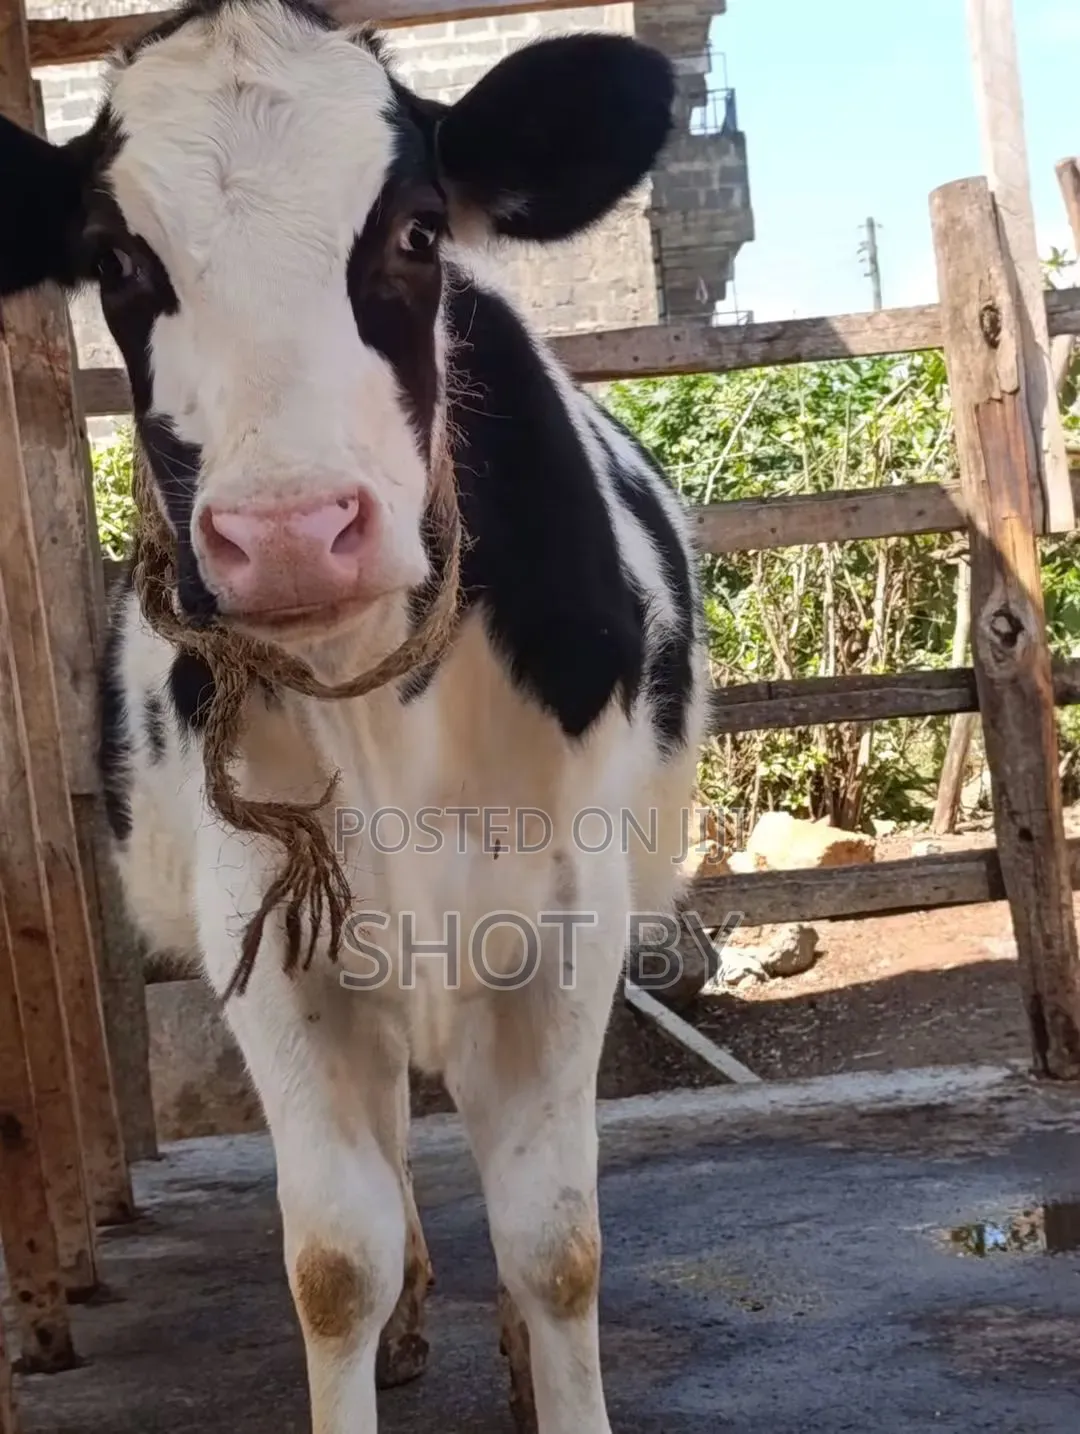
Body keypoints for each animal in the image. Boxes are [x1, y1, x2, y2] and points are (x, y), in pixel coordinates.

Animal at [0, 2, 708, 1429]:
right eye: (117, 261)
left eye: (419, 231)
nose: (289, 532)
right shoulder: (265, 932)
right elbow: (337, 1260)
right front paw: (379, 1325)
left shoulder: (568, 924)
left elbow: (555, 1243)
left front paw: (547, 1368)